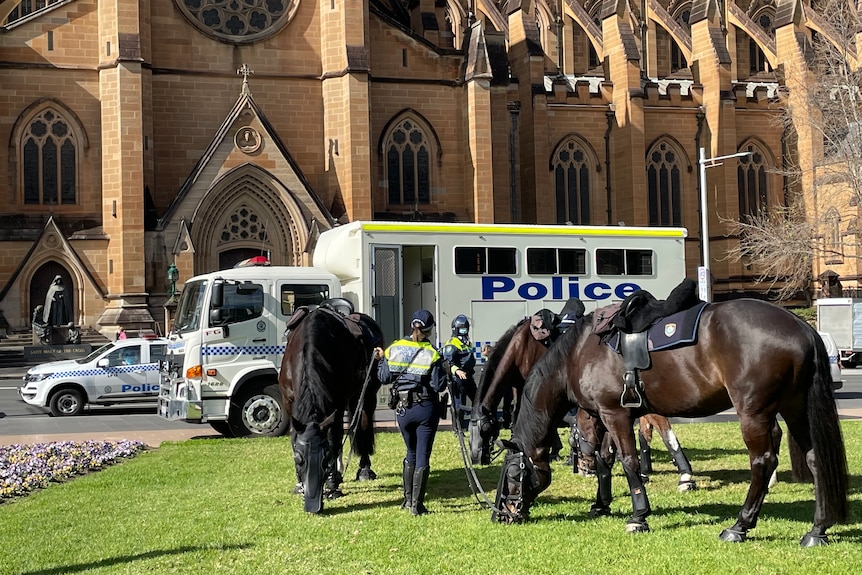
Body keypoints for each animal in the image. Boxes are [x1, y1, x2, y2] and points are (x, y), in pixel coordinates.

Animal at [278, 304, 384, 516]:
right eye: (299, 459)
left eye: (326, 458)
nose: (313, 505)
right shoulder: (288, 403)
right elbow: (294, 438)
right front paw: (299, 484)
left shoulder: (339, 403)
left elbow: (335, 439)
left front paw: (333, 485)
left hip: (366, 395)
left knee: (362, 426)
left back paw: (364, 470)